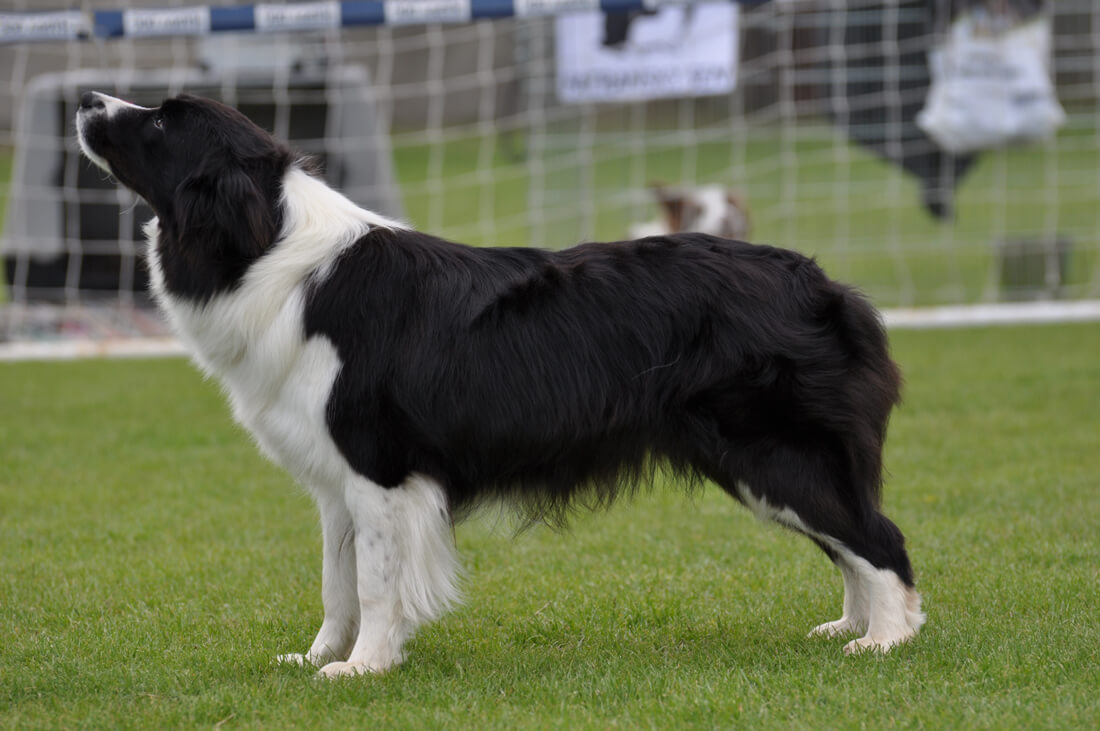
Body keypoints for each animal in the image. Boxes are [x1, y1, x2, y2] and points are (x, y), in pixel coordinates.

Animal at [73, 93, 924, 677]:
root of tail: (821, 282)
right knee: (849, 538)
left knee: (879, 535)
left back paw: (887, 639)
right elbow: (336, 581)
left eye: (162, 123)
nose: (86, 98)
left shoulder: (381, 469)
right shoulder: (337, 483)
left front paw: (364, 667)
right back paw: (851, 627)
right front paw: (318, 656)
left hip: (773, 452)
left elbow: (376, 582)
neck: (271, 247)